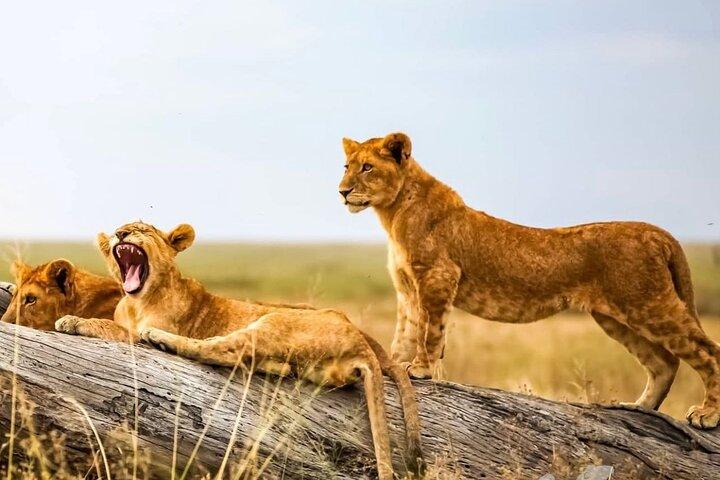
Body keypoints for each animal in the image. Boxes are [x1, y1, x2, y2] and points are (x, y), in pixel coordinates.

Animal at [54, 221, 424, 479]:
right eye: (122, 225)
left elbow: (111, 328)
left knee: (220, 350)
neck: (136, 301)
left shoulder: (137, 330)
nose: (120, 233)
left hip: (273, 321)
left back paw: (159, 338)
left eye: (142, 229)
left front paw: (72, 320)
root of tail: (361, 341)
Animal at [339, 131, 720, 429]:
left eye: (367, 167)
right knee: (664, 362)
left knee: (707, 351)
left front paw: (419, 370)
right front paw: (393, 366)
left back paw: (707, 415)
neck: (392, 212)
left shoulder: (437, 277)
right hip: (616, 317)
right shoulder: (407, 290)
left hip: (647, 304)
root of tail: (657, 232)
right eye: (347, 167)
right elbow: (404, 334)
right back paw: (638, 409)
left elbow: (430, 332)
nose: (342, 191)